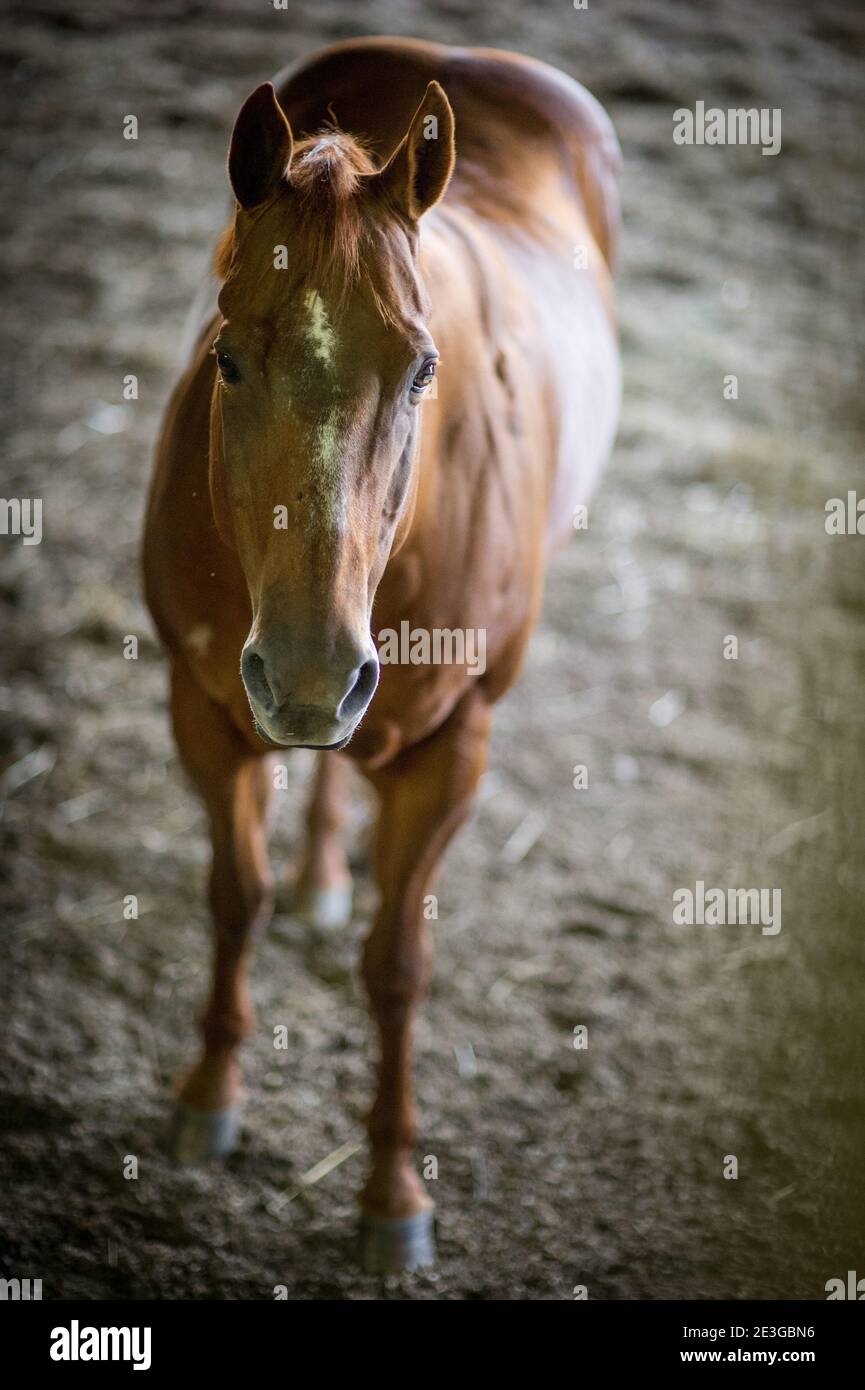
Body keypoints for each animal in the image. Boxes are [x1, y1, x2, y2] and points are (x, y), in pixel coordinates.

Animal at [142, 32, 620, 1273]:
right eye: (225, 359)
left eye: (420, 370)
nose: (313, 671)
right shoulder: (202, 705)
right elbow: (235, 897)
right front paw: (208, 1094)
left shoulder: (451, 747)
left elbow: (398, 970)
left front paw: (394, 1195)